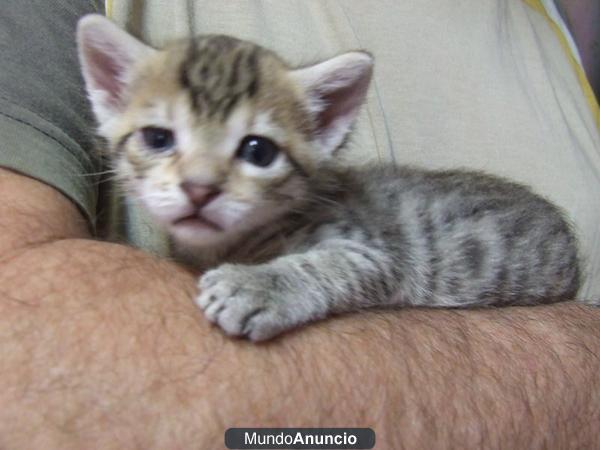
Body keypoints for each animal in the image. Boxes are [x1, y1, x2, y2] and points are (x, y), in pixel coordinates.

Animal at [77, 14, 580, 342]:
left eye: (258, 151)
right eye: (158, 138)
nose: (200, 188)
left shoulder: (380, 254)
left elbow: (329, 264)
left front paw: (257, 286)